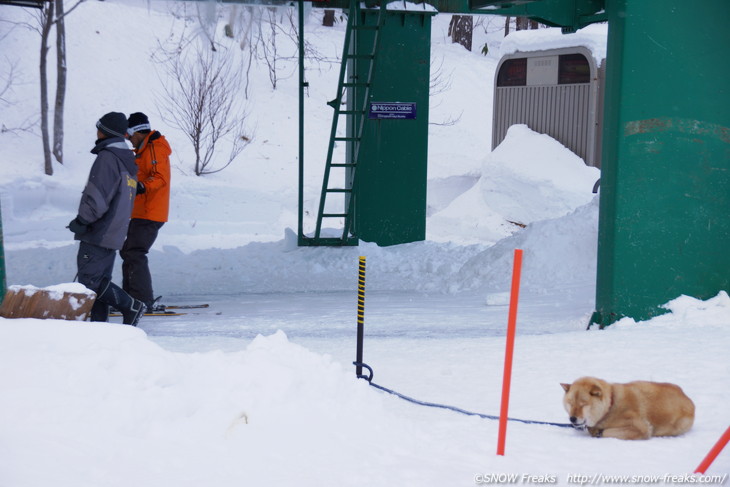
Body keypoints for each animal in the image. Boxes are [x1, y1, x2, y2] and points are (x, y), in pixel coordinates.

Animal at [556, 378, 692, 442]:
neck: (610, 406)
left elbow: (606, 432)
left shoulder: (640, 428)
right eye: (571, 403)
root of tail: (688, 399)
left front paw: (596, 431)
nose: (572, 419)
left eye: (583, 404)